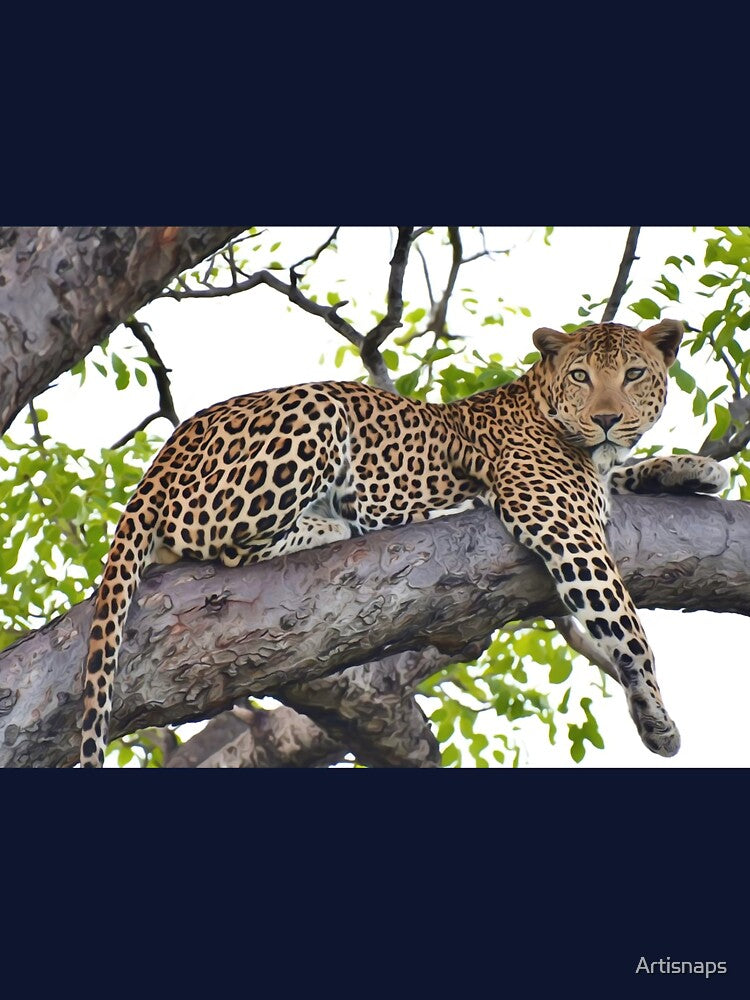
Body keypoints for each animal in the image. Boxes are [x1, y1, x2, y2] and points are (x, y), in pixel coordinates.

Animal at [79, 318, 728, 767]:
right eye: (581, 376)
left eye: (634, 374)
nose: (607, 419)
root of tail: (164, 454)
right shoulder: (557, 517)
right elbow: (627, 626)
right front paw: (655, 717)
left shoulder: (587, 486)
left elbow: (626, 472)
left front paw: (694, 468)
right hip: (314, 413)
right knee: (219, 540)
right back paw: (340, 521)